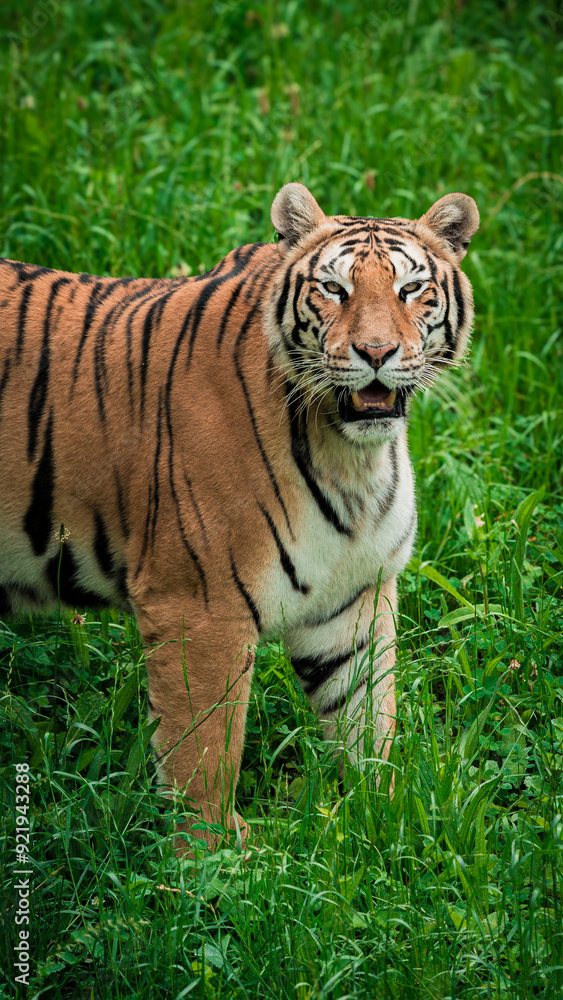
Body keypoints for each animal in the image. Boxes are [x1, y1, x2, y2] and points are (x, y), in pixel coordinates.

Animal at [0, 183, 479, 854]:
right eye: (334, 289)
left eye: (411, 289)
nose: (376, 352)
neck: (351, 457)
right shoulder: (199, 607)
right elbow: (203, 751)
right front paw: (215, 861)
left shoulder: (352, 599)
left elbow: (366, 720)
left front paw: (388, 817)